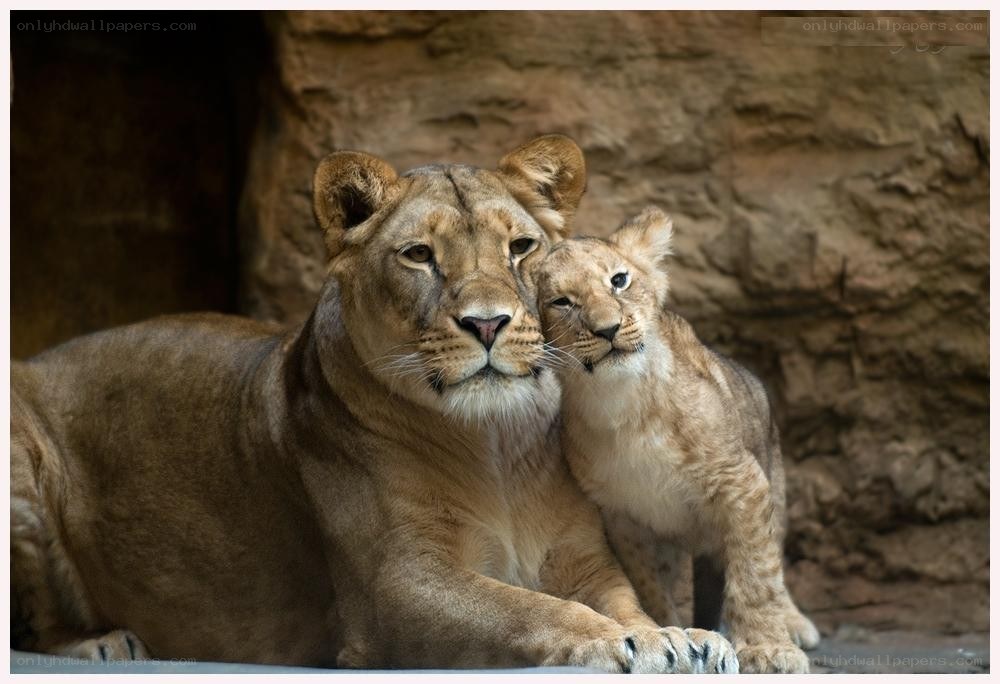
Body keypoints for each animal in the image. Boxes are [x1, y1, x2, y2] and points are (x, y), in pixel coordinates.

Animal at [10, 138, 738, 672]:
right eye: (418, 255)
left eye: (520, 247)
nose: (488, 324)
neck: (496, 443)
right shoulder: (394, 589)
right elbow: (522, 611)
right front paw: (615, 641)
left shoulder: (582, 555)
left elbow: (623, 599)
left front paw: (674, 636)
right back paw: (102, 642)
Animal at [536, 207, 820, 673]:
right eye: (562, 302)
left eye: (619, 280)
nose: (608, 329)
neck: (622, 405)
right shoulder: (623, 516)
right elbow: (647, 584)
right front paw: (669, 637)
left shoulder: (742, 482)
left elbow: (755, 573)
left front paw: (767, 648)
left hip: (774, 484)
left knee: (773, 557)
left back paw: (794, 624)